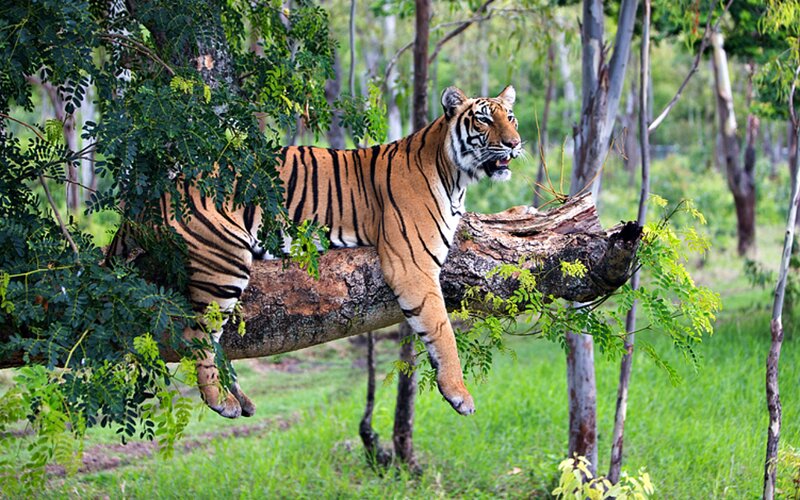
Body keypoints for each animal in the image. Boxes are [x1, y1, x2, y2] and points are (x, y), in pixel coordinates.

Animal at [111, 85, 521, 419]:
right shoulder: (413, 265)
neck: (455, 177)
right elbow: (442, 331)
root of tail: (157, 192)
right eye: (484, 119)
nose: (515, 144)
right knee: (197, 336)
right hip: (225, 261)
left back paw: (241, 399)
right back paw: (221, 401)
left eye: (511, 117)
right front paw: (459, 395)